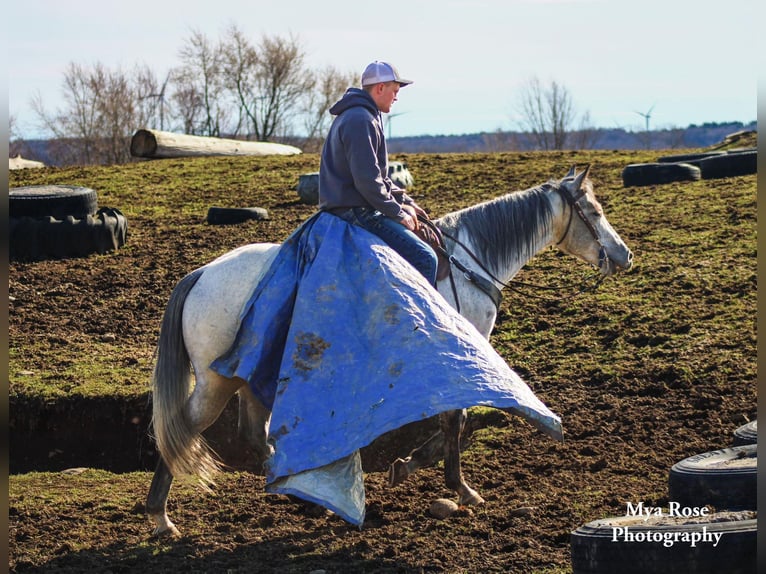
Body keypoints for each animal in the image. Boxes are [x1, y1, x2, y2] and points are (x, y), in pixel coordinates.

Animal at [147, 165, 632, 536]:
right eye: (594, 211)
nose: (625, 255)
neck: (468, 263)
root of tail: (201, 274)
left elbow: (455, 419)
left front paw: (411, 464)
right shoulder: (462, 352)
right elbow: (456, 418)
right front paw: (455, 484)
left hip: (247, 377)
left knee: (253, 434)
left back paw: (305, 491)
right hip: (214, 383)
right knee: (181, 428)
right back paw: (161, 517)